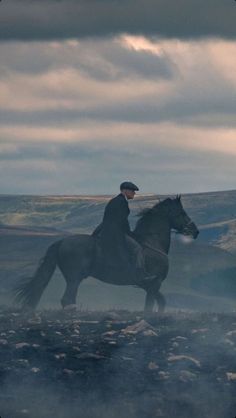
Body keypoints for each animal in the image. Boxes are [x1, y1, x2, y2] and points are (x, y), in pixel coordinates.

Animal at [14, 196, 199, 314]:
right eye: (182, 213)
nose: (196, 231)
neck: (152, 243)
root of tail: (61, 242)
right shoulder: (154, 283)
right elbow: (150, 305)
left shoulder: (149, 285)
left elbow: (161, 302)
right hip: (75, 277)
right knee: (67, 299)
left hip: (73, 278)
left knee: (69, 299)